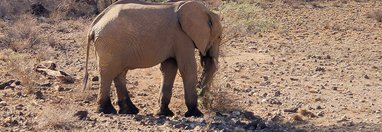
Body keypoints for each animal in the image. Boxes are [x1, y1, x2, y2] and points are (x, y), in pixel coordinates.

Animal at [82, 0, 222, 117]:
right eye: (219, 37)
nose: (204, 101)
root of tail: (95, 24)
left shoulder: (175, 40)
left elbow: (169, 69)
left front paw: (163, 113)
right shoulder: (182, 37)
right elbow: (187, 68)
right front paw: (196, 114)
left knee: (119, 73)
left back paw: (129, 111)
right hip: (109, 44)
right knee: (108, 73)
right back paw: (107, 111)